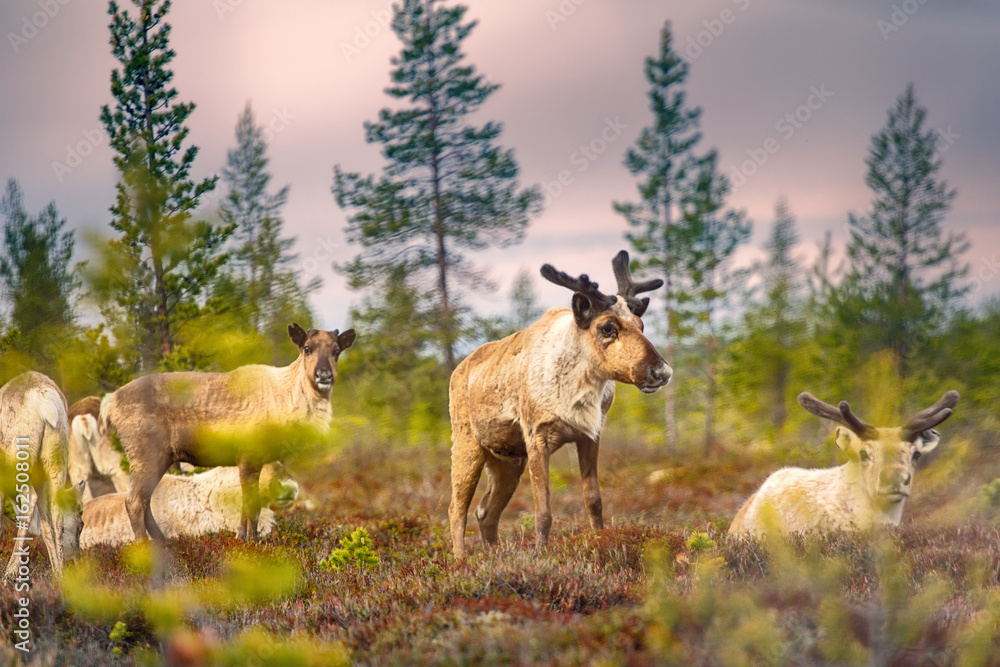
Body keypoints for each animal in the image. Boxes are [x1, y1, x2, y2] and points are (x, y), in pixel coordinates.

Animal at [99, 323, 355, 542]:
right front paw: (250, 541)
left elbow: (248, 505)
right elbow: (252, 505)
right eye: (307, 348)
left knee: (145, 501)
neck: (287, 398)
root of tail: (109, 402)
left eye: (336, 351)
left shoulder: (254, 460)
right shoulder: (249, 455)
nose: (324, 375)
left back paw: (163, 542)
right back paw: (144, 547)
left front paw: (242, 538)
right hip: (145, 454)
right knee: (134, 501)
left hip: (160, 458)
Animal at [449, 250, 672, 558]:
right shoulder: (536, 437)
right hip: (467, 444)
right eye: (608, 327)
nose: (661, 371)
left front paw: (601, 542)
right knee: (456, 510)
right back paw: (460, 561)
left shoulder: (590, 434)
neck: (579, 394)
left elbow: (594, 501)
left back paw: (494, 557)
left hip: (508, 460)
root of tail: (458, 370)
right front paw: (541, 554)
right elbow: (543, 512)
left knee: (485, 512)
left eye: (641, 325)